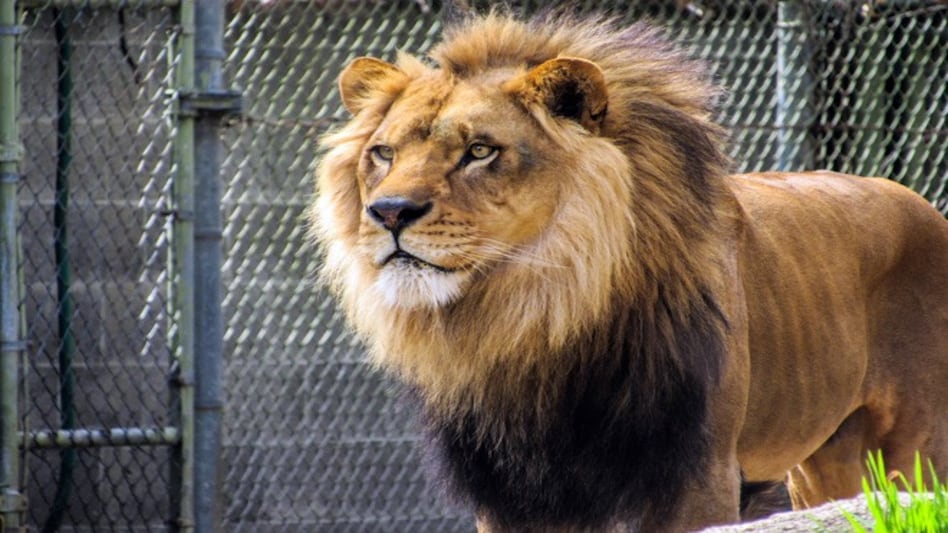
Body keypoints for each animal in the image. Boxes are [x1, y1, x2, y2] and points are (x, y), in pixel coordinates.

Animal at [310, 12, 948, 532]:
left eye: (481, 151)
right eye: (383, 154)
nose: (390, 212)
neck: (532, 314)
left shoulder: (696, 473)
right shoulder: (511, 492)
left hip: (918, 450)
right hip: (825, 462)